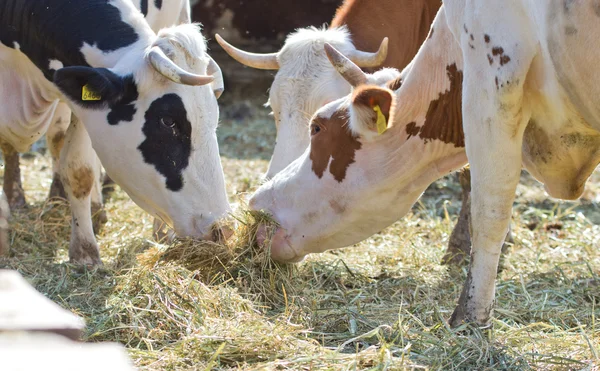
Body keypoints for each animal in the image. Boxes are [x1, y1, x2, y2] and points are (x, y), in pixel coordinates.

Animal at [248, 0, 600, 326]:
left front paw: (470, 315)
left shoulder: (491, 85)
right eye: (273, 108)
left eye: (318, 127)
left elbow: (488, 213)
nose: (255, 205)